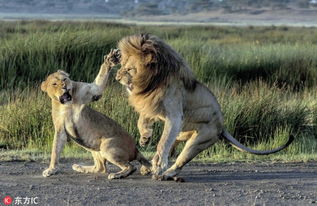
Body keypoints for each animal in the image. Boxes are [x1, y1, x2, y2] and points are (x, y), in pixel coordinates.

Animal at [39, 49, 151, 179]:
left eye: (64, 79)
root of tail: (135, 149)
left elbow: (98, 84)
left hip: (107, 146)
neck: (66, 105)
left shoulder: (91, 90)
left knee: (131, 166)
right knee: (101, 168)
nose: (64, 86)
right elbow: (55, 151)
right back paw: (79, 167)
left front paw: (111, 59)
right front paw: (51, 169)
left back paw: (116, 175)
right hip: (94, 147)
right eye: (54, 84)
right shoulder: (60, 128)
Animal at [112, 33, 292, 180]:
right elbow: (142, 119)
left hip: (199, 140)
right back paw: (153, 163)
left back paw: (165, 173)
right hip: (183, 131)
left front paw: (158, 165)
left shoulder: (174, 115)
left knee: (179, 159)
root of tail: (222, 127)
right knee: (174, 141)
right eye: (122, 65)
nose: (116, 77)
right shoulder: (153, 105)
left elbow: (162, 142)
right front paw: (145, 137)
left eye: (129, 69)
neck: (152, 82)